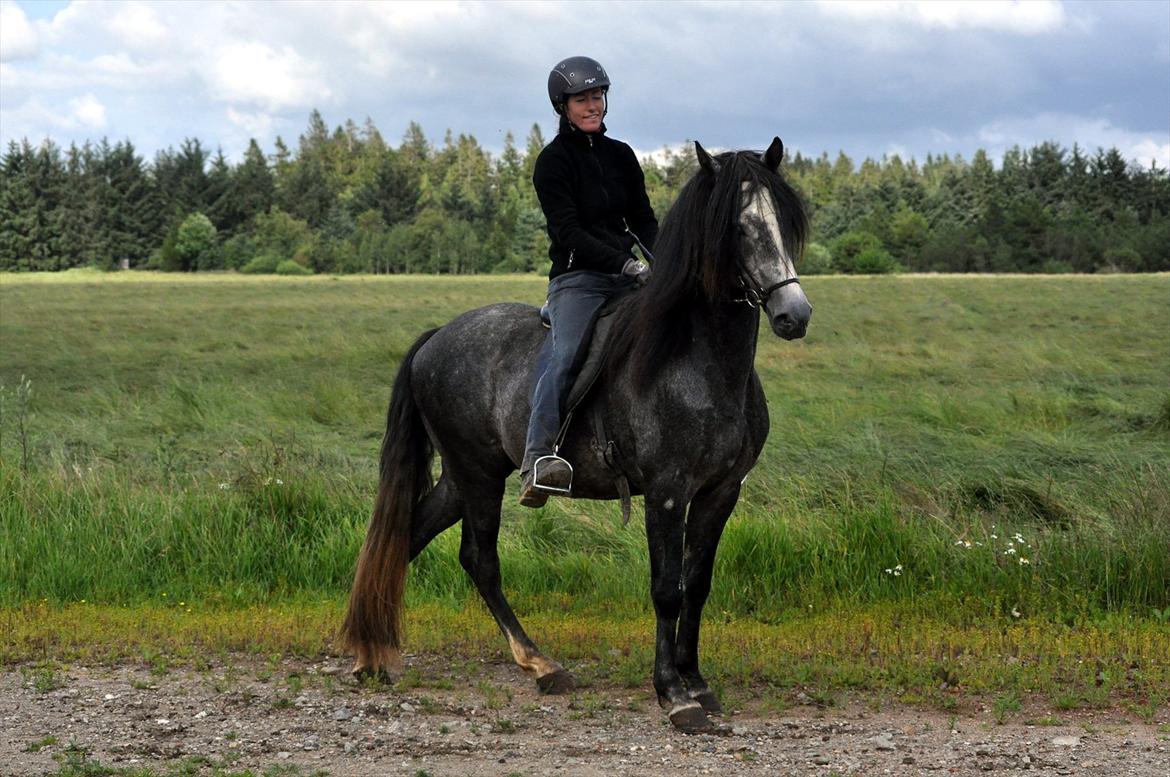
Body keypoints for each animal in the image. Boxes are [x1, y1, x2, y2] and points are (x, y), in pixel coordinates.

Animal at [341, 136, 809, 730]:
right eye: (739, 228)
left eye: (785, 223)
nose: (795, 315)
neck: (698, 359)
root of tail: (436, 338)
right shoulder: (666, 491)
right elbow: (667, 589)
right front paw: (673, 695)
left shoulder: (719, 492)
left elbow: (698, 587)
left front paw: (698, 683)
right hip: (476, 474)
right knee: (479, 560)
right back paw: (539, 665)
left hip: (462, 476)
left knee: (410, 536)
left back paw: (372, 654)